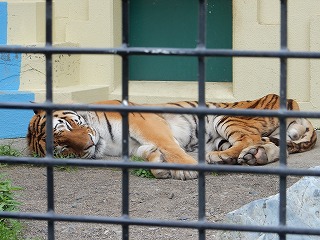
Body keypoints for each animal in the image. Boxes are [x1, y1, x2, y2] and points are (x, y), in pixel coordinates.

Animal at [27, 94, 318, 180]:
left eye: (68, 126)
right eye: (63, 149)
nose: (88, 143)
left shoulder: (144, 121)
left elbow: (169, 145)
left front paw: (186, 169)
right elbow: (145, 152)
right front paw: (157, 163)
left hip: (224, 118)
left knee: (249, 138)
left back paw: (219, 159)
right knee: (263, 144)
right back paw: (247, 158)